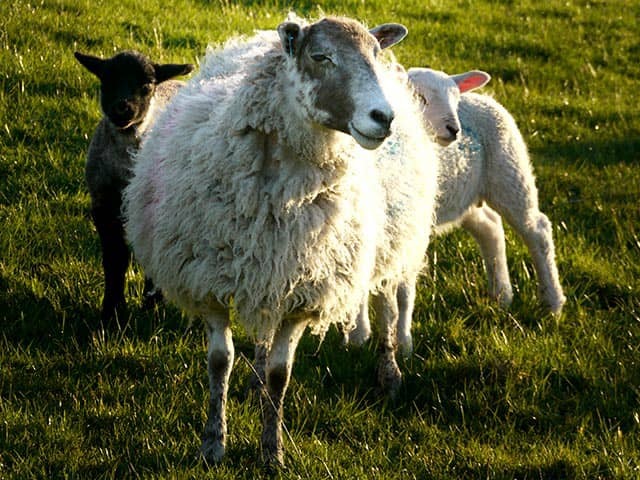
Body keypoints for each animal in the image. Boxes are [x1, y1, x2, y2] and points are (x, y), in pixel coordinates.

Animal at [75, 50, 193, 324]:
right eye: (106, 80)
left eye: (147, 86)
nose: (122, 108)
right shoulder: (103, 205)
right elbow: (115, 258)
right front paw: (112, 311)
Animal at [123, 16, 437, 465]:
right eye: (320, 56)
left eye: (375, 54)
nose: (383, 117)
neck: (280, 196)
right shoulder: (211, 280)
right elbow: (220, 362)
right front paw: (213, 443)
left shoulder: (304, 294)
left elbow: (280, 373)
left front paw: (272, 451)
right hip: (264, 268)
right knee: (262, 334)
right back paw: (254, 380)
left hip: (392, 242)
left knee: (387, 305)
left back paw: (389, 372)